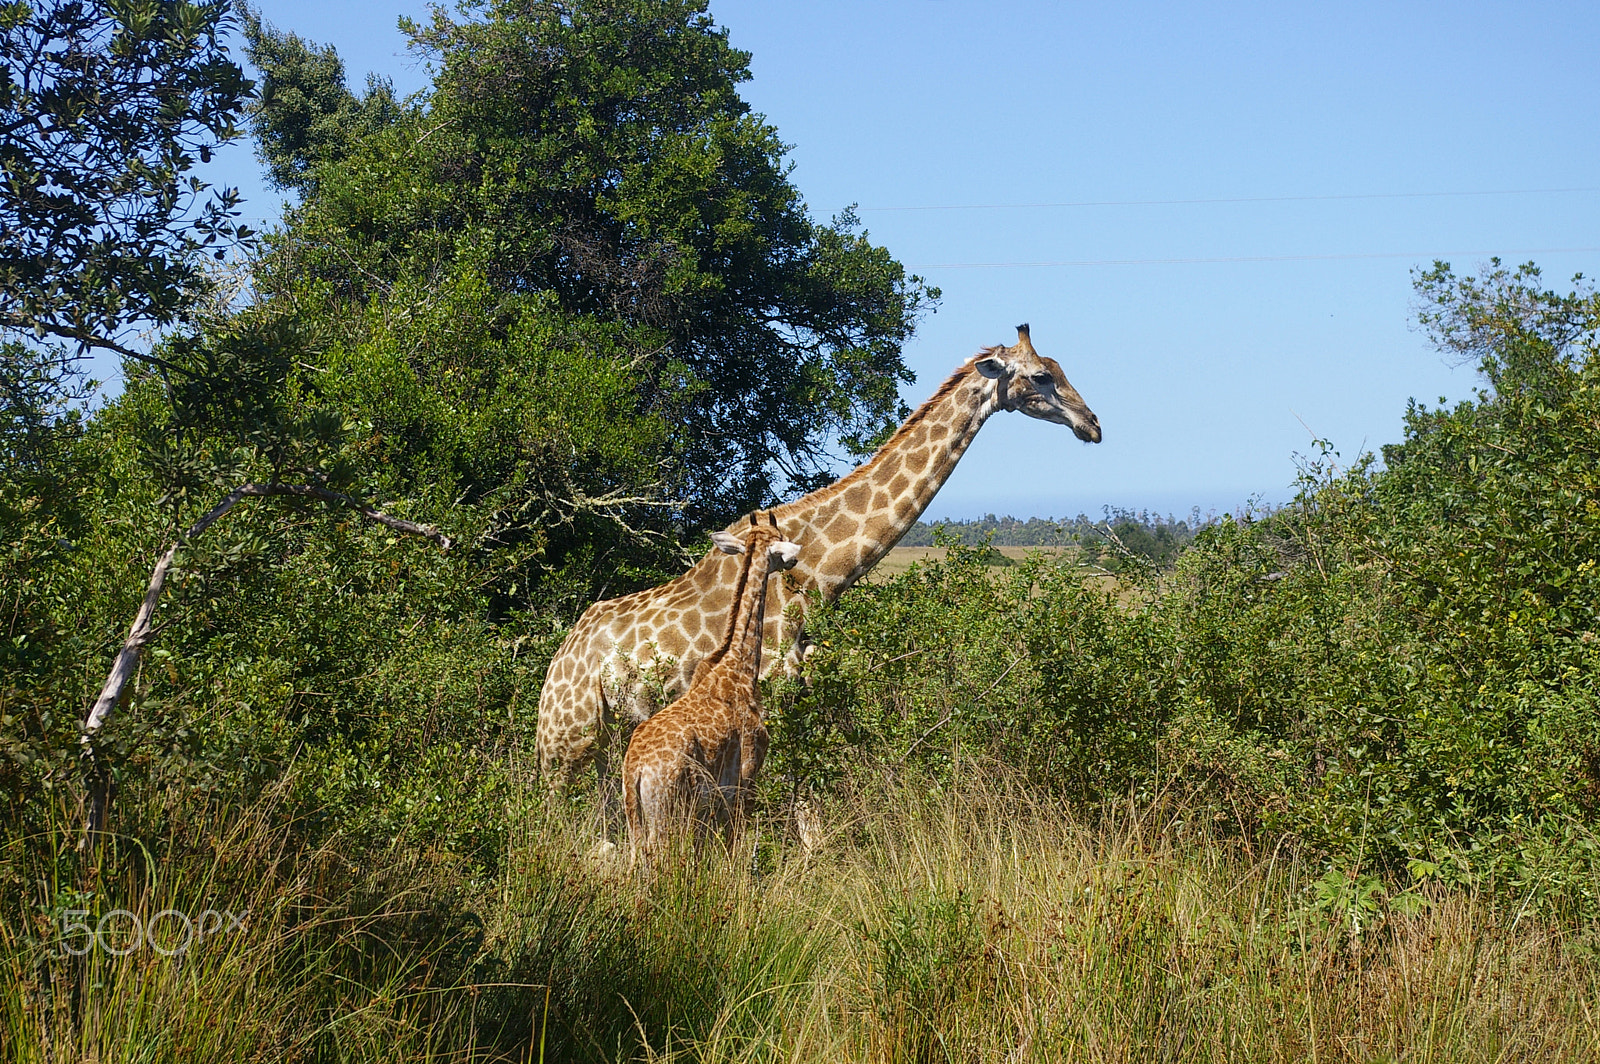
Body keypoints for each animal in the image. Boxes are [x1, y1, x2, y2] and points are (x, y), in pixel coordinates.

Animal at [537, 324, 1101, 786]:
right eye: (1041, 377)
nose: (1093, 423)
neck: (822, 573)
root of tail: (558, 660)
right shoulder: (769, 693)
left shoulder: (803, 685)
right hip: (568, 741)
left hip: (606, 736)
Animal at [622, 514, 802, 863]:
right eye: (779, 539)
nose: (795, 559)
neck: (739, 667)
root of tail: (637, 771)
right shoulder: (746, 774)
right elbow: (734, 844)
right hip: (669, 812)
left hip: (635, 818)